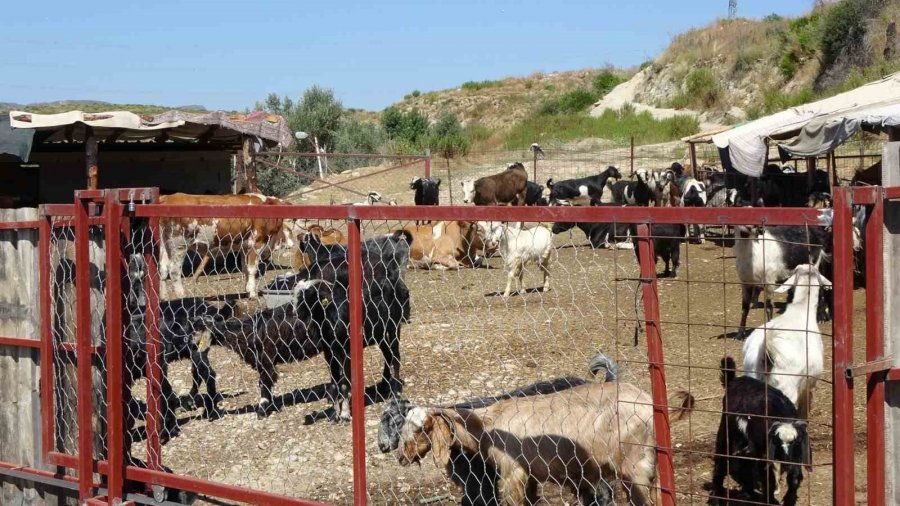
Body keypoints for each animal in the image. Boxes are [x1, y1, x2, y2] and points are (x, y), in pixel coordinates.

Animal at [396, 382, 696, 504]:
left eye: (421, 429)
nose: (401, 457)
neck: (487, 426)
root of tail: (651, 405)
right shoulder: (529, 475)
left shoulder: (513, 472)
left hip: (636, 467)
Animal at [712, 356, 812, 506]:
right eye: (776, 442)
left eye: (796, 443)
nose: (787, 463)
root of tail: (734, 381)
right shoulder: (764, 454)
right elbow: (768, 480)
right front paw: (770, 500)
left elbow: (794, 478)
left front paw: (789, 500)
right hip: (726, 430)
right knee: (721, 458)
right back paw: (716, 497)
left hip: (746, 441)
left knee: (745, 460)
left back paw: (748, 492)